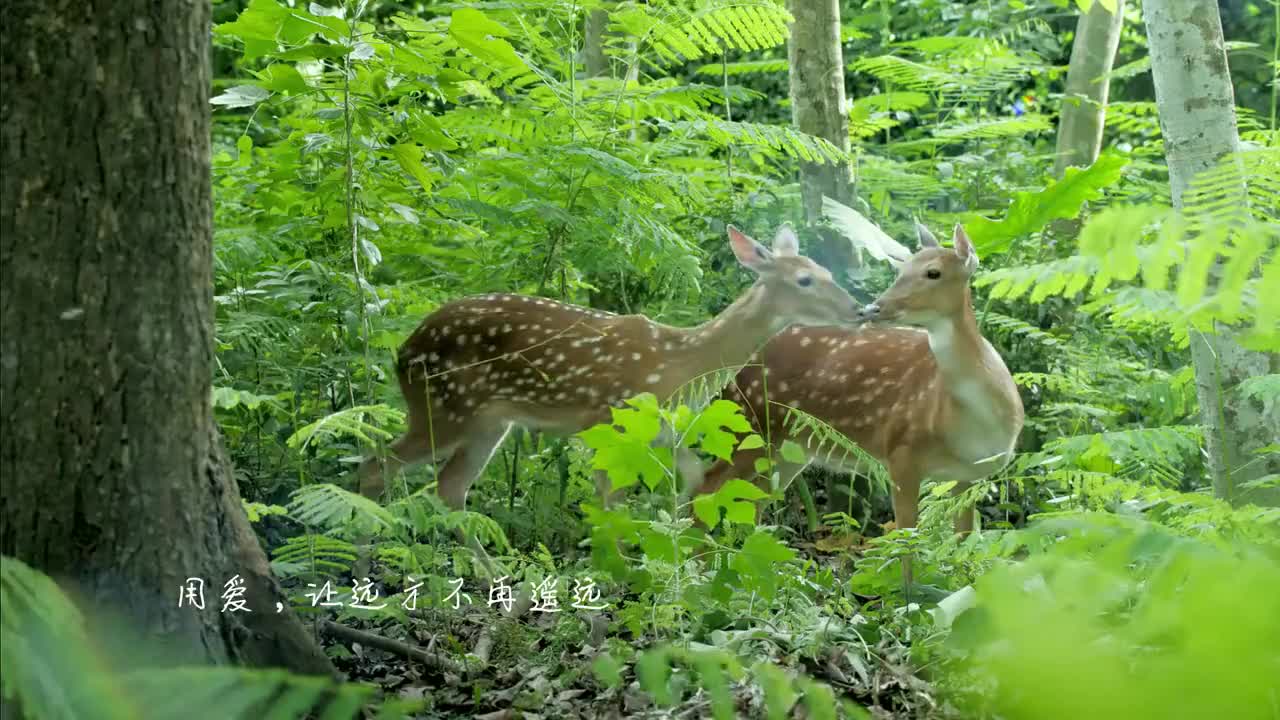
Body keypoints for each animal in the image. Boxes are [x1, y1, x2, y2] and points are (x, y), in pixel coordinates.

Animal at [355, 224, 865, 566]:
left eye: (824, 271)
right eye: (804, 280)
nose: (859, 310)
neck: (682, 364)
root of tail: (403, 349)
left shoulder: (662, 433)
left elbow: (694, 477)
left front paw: (674, 537)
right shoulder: (610, 421)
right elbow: (611, 499)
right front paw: (620, 567)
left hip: (488, 422)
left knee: (449, 486)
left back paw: (490, 570)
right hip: (443, 405)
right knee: (376, 465)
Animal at [696, 221, 1024, 573]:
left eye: (933, 272)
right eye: (901, 268)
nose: (874, 307)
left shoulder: (971, 476)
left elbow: (962, 545)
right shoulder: (901, 452)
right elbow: (907, 545)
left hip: (790, 445)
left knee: (756, 499)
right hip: (749, 419)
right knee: (707, 485)